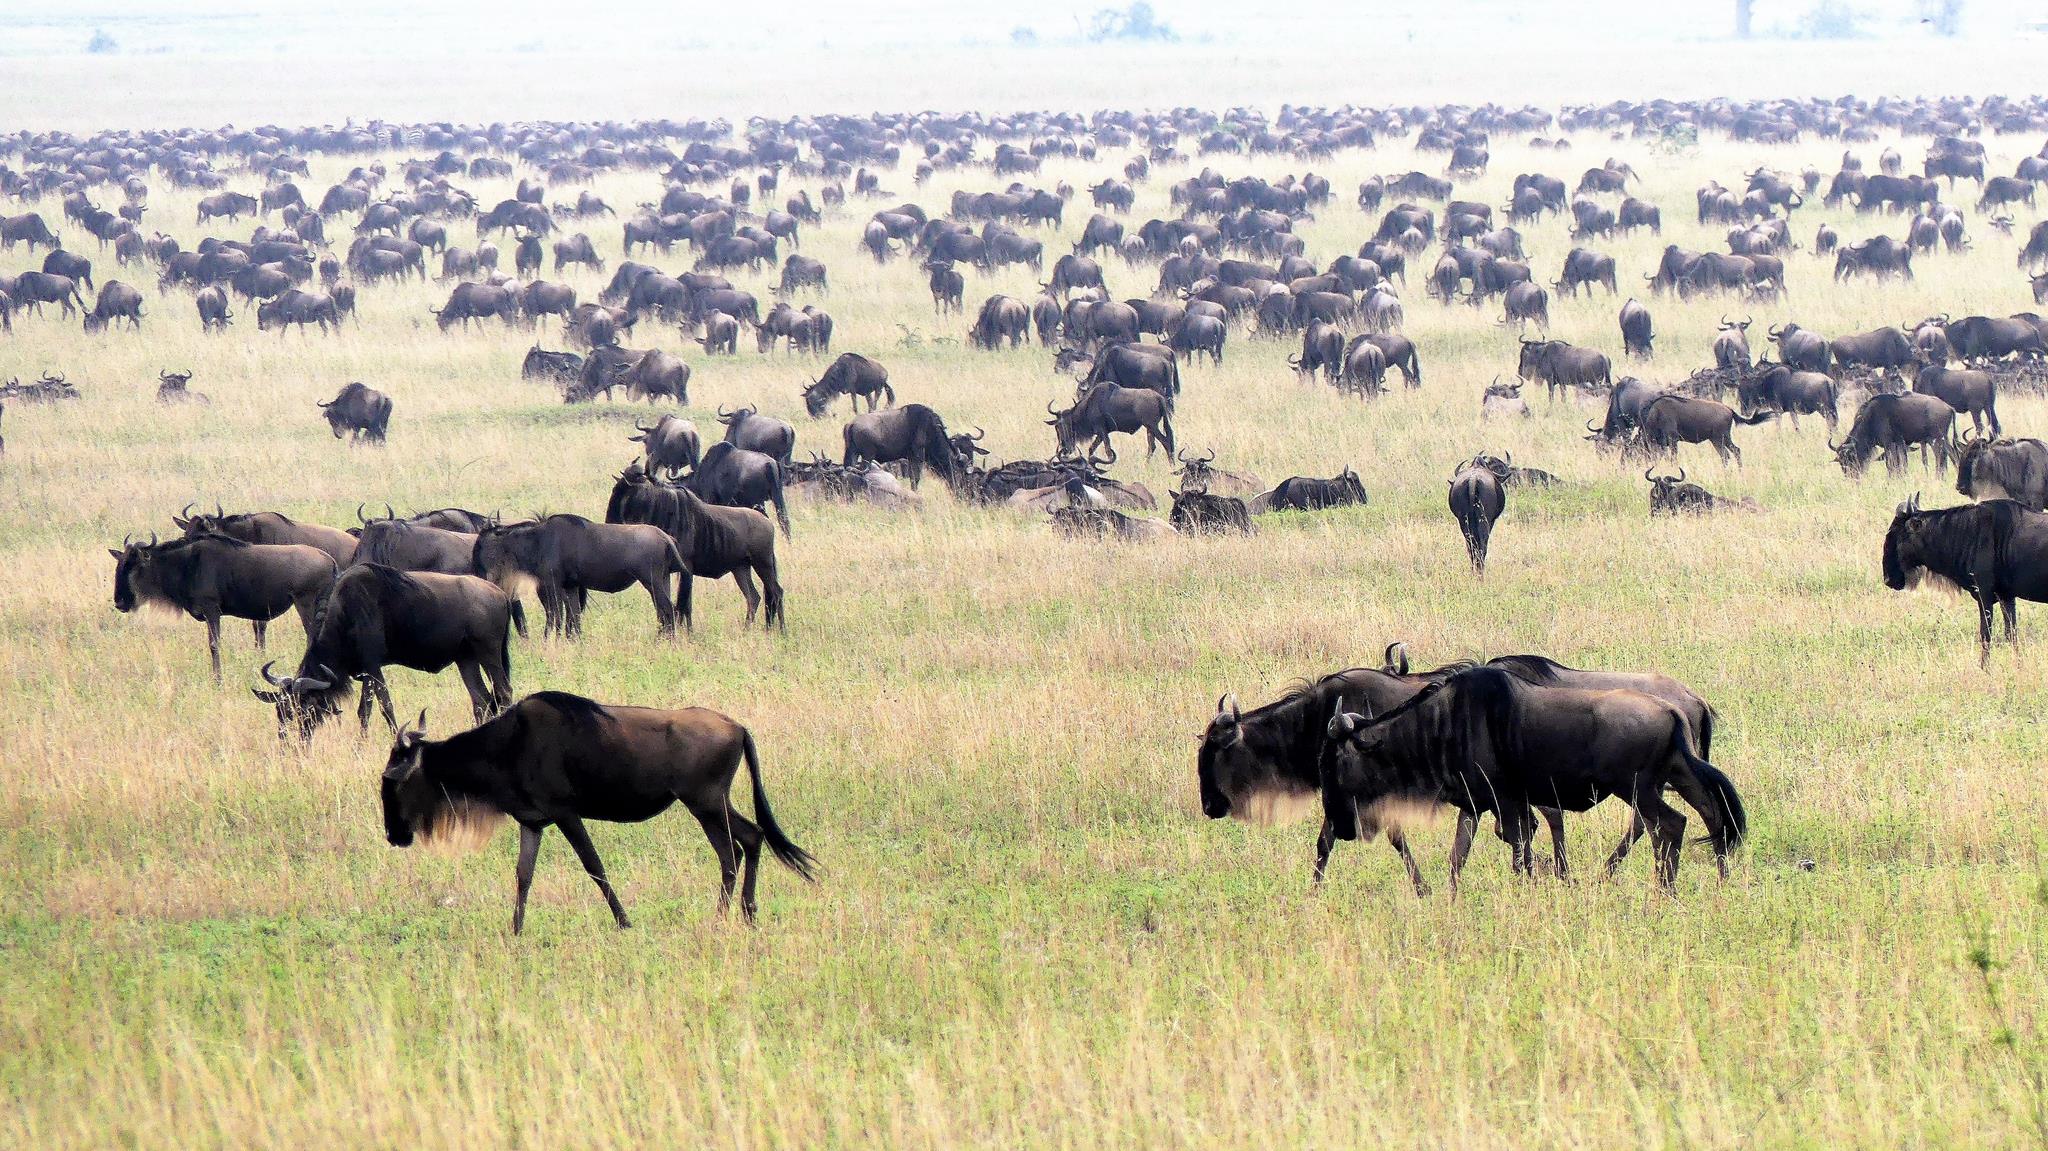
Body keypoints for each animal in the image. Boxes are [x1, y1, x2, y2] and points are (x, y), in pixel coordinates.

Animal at [110, 533, 336, 681]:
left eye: (136, 566)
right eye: (120, 565)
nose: (120, 603)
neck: (187, 564)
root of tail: (329, 559)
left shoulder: (212, 610)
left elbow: (214, 644)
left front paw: (217, 679)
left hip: (305, 604)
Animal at [378, 694, 815, 931]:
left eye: (392, 782)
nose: (393, 836)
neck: (508, 744)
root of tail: (737, 726)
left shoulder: (566, 814)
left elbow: (595, 867)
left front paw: (624, 922)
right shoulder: (533, 822)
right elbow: (523, 876)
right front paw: (515, 930)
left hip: (706, 805)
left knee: (741, 845)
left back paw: (733, 915)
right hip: (710, 807)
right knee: (742, 846)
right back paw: (738, 914)